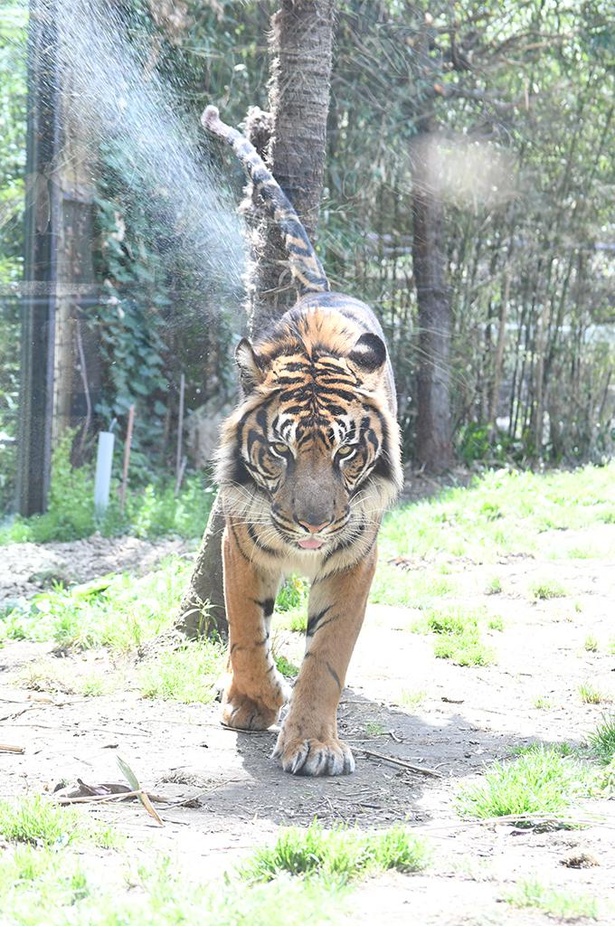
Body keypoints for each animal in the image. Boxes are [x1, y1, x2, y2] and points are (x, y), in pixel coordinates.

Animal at [202, 105, 404, 780]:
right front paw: (253, 703)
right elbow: (246, 632)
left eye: (346, 453)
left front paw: (313, 744)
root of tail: (320, 290)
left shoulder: (354, 559)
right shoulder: (242, 544)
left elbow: (327, 656)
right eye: (280, 452)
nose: (314, 525)